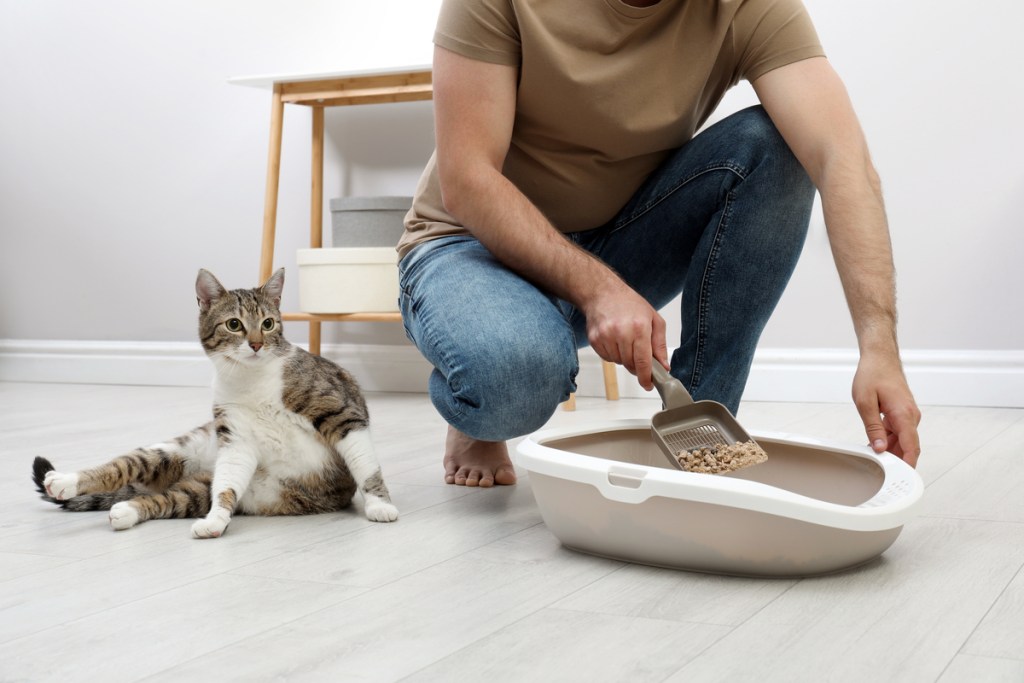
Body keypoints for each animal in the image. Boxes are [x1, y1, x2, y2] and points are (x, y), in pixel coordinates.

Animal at [29, 266, 397, 540]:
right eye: (234, 324)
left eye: (268, 323)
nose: (256, 344)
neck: (251, 380)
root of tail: (201, 465)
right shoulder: (236, 439)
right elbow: (227, 487)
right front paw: (217, 519)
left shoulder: (341, 413)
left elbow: (365, 465)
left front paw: (379, 505)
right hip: (172, 454)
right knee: (123, 469)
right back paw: (65, 481)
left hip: (198, 487)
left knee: (162, 498)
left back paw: (126, 510)